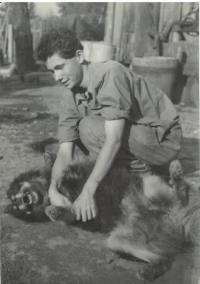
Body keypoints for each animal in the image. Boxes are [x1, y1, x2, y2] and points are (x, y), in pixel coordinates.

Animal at [6, 152, 200, 280]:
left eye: (18, 195)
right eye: (18, 206)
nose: (24, 202)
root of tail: (175, 217)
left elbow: (64, 171)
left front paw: (50, 160)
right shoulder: (78, 215)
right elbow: (67, 212)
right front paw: (53, 210)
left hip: (148, 184)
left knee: (180, 194)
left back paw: (176, 176)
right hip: (120, 239)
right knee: (164, 258)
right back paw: (149, 271)